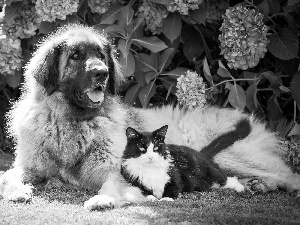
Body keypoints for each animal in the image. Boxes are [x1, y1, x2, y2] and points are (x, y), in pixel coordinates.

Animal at [120, 118, 252, 200]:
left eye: (156, 148)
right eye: (142, 148)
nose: (151, 157)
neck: (150, 169)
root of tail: (200, 153)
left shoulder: (174, 174)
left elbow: (173, 187)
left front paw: (166, 199)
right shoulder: (133, 179)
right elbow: (144, 190)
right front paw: (151, 197)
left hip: (208, 172)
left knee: (226, 179)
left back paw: (240, 188)